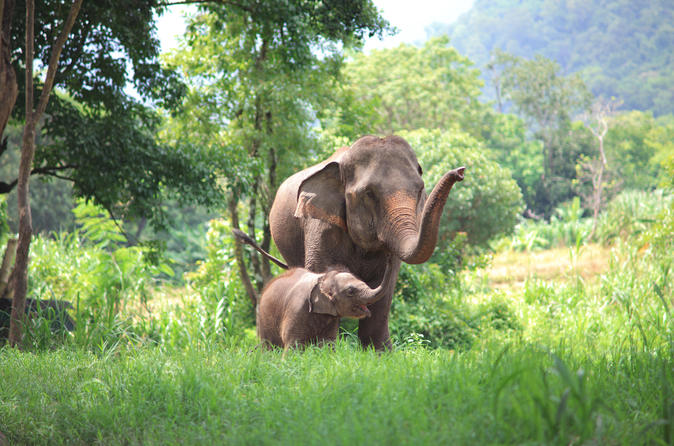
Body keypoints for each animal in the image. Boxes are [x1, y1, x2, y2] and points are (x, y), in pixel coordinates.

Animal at [258, 262, 394, 352]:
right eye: (350, 291)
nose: (389, 257)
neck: (323, 278)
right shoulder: (296, 310)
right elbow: (294, 344)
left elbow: (327, 344)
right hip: (264, 320)